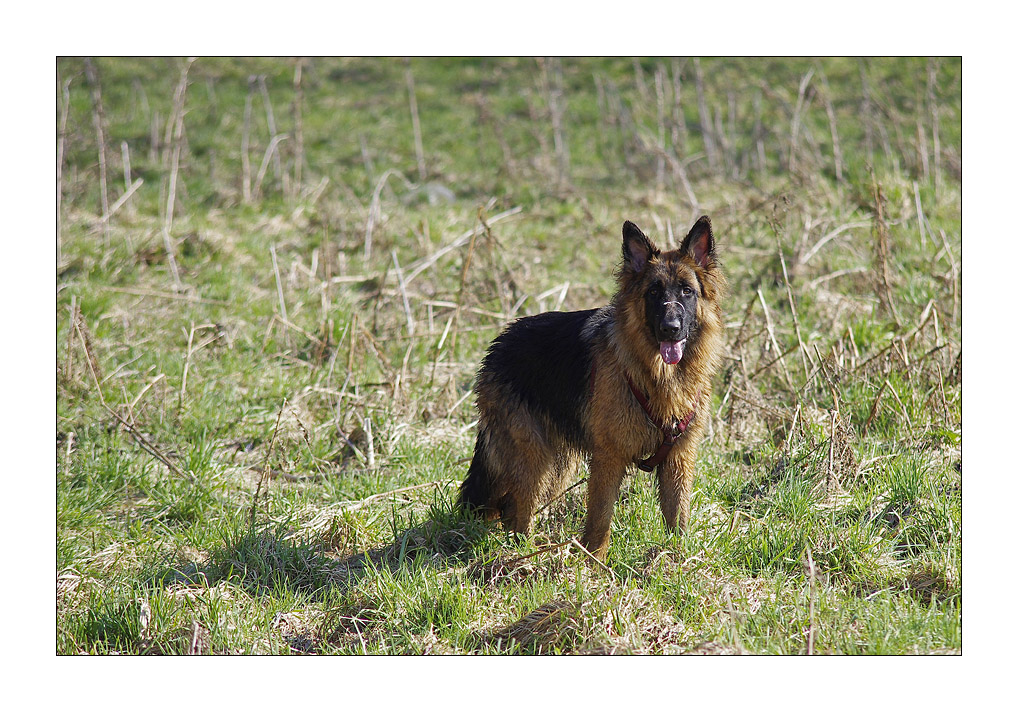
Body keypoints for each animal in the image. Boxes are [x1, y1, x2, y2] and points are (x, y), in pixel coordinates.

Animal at [454, 214, 725, 558]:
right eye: (653, 292)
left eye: (687, 291)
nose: (670, 329)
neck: (656, 377)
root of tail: (499, 344)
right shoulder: (608, 459)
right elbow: (599, 520)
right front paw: (593, 562)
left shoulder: (678, 460)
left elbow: (677, 518)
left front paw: (677, 558)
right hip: (534, 460)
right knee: (518, 511)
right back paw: (525, 555)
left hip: (557, 465)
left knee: (511, 510)